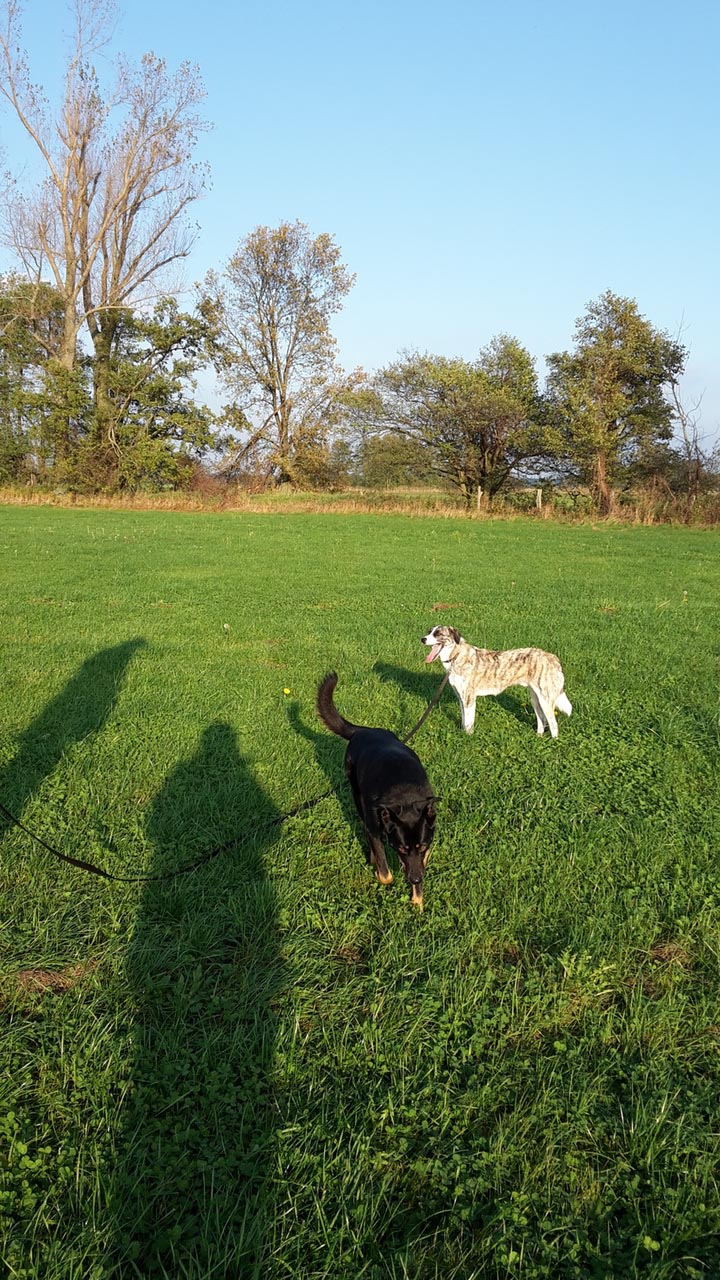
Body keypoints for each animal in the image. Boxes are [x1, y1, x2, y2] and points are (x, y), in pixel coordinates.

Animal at [317, 672, 437, 908]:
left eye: (422, 846)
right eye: (402, 848)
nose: (415, 879)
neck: (405, 795)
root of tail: (364, 731)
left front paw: (417, 900)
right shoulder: (375, 828)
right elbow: (386, 873)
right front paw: (380, 872)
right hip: (356, 795)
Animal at [422, 625, 572, 738]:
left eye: (438, 633)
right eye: (429, 632)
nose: (422, 639)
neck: (456, 656)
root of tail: (553, 658)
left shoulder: (469, 699)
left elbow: (469, 723)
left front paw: (468, 738)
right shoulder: (461, 698)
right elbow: (464, 721)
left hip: (546, 700)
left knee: (553, 724)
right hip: (536, 698)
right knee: (541, 719)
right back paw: (538, 737)